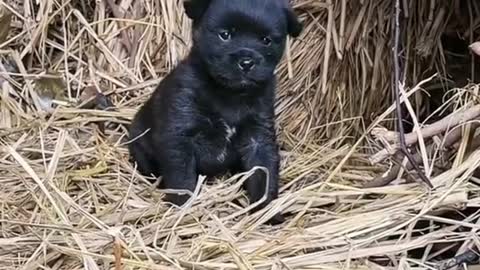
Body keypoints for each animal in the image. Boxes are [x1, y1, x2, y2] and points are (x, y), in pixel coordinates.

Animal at [127, 0, 300, 224]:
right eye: (224, 35)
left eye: (266, 40)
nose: (246, 62)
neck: (230, 95)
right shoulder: (179, 137)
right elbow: (182, 180)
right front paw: (183, 211)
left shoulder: (258, 139)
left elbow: (264, 174)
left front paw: (267, 212)